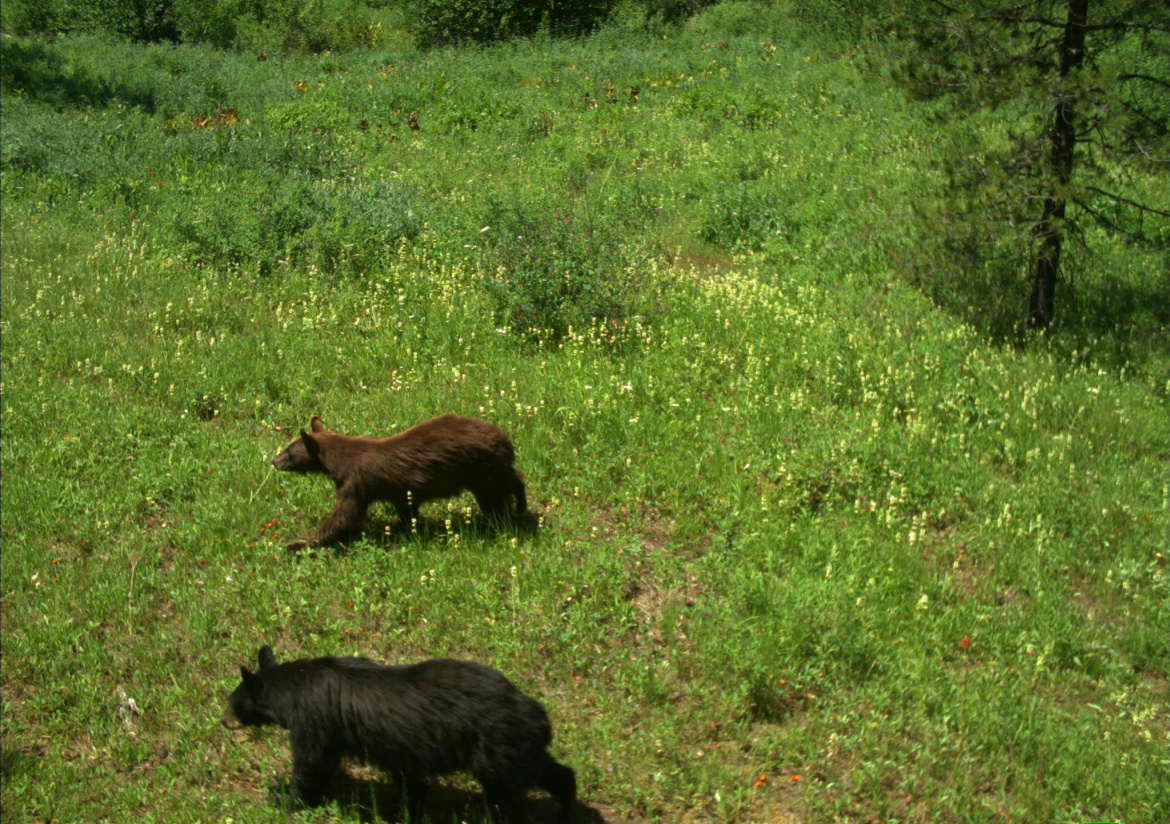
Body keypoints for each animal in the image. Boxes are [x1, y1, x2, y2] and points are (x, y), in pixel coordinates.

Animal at [221, 646, 573, 819]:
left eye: (232, 703)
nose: (223, 721)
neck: (296, 687)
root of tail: (533, 710)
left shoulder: (315, 721)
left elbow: (312, 763)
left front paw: (285, 798)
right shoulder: (400, 746)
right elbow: (408, 777)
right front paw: (408, 808)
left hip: (494, 747)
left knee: (509, 789)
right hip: (514, 746)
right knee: (549, 770)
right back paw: (565, 804)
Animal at [271, 414, 528, 550]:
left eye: (290, 452)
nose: (274, 460)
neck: (341, 460)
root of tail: (504, 439)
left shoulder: (356, 483)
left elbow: (344, 515)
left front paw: (299, 544)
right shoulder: (400, 492)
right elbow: (407, 510)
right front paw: (407, 528)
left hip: (482, 469)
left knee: (502, 491)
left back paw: (509, 515)